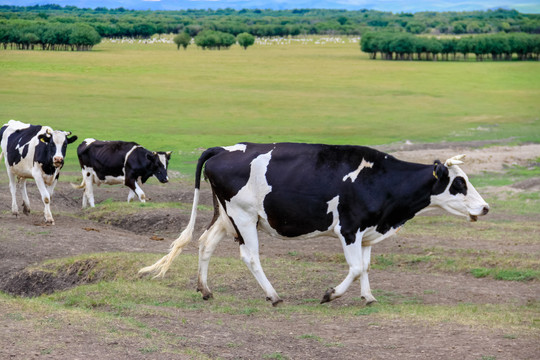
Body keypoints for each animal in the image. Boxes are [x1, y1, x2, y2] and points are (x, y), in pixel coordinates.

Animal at [140, 142, 490, 306]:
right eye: (459, 183)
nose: (485, 208)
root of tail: (222, 148)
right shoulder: (349, 228)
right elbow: (355, 268)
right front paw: (330, 294)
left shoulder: (367, 231)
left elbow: (365, 266)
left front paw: (368, 297)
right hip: (243, 216)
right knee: (250, 256)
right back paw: (273, 295)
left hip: (227, 218)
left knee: (205, 243)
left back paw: (205, 289)